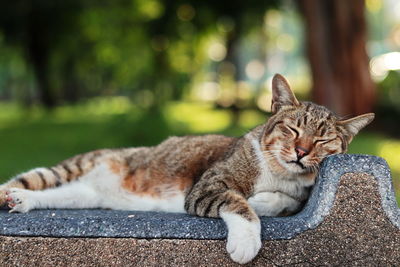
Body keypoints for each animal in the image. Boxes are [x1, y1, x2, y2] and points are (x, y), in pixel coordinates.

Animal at [0, 74, 376, 264]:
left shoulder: (297, 194)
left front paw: (264, 201)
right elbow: (238, 204)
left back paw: (22, 200)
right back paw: (11, 194)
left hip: (85, 195)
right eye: (294, 129)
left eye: (324, 140)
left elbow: (282, 201)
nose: (301, 151)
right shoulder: (207, 186)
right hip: (68, 169)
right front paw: (246, 240)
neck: (278, 172)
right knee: (28, 179)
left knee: (54, 195)